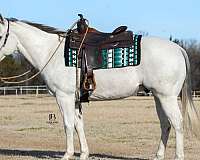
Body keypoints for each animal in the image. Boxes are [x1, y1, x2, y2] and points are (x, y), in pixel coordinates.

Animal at [0, 14, 199, 159]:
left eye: (0, 35)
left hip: (167, 97)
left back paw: (178, 156)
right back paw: (158, 155)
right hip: (159, 97)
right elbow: (78, 124)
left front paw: (67, 154)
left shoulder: (64, 97)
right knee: (165, 123)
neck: (51, 52)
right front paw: (83, 154)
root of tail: (178, 49)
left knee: (177, 123)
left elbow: (67, 124)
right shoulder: (75, 99)